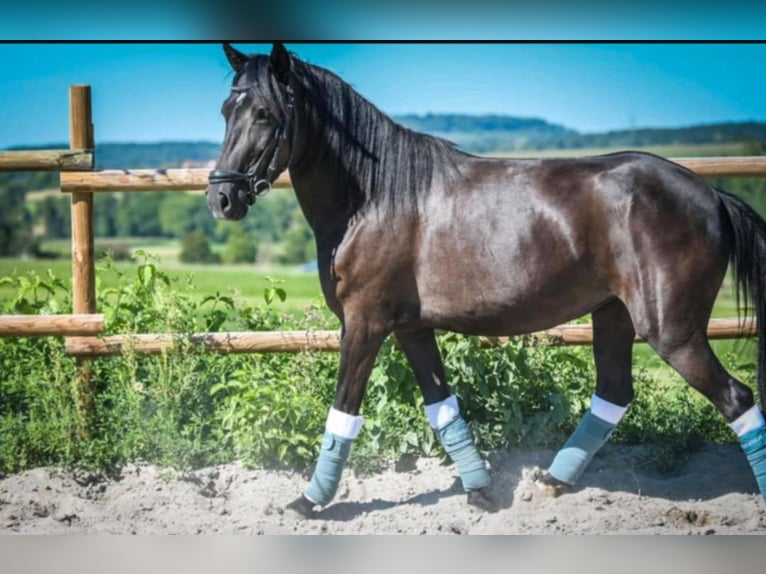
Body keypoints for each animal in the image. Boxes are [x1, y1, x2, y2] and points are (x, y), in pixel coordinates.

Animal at [207, 41, 766, 516]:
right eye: (226, 110)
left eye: (265, 113)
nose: (221, 198)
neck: (372, 197)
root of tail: (712, 195)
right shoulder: (411, 327)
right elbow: (442, 406)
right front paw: (479, 491)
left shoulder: (364, 324)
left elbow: (344, 410)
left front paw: (309, 501)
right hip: (613, 316)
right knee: (614, 393)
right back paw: (552, 481)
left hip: (672, 331)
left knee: (736, 399)